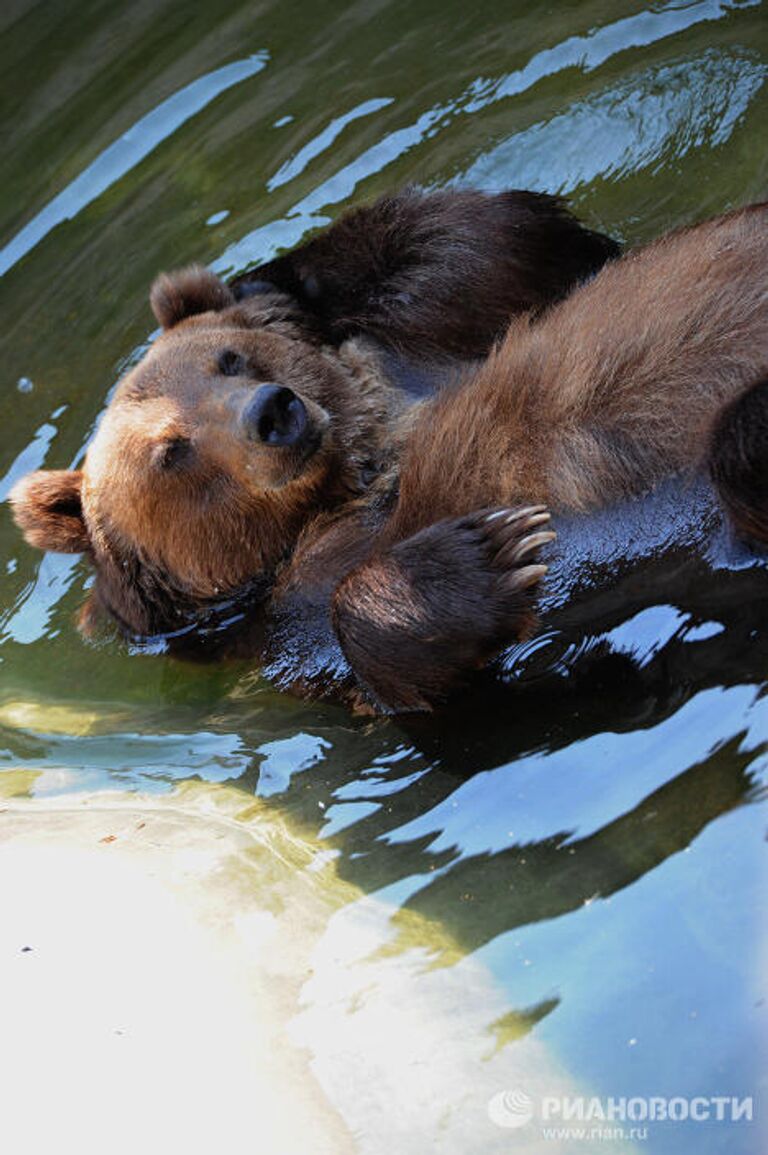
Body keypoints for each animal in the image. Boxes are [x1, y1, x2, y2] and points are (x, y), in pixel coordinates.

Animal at [10, 190, 766, 711]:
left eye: (230, 360)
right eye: (171, 450)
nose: (272, 412)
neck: (362, 464)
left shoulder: (444, 328)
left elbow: (480, 237)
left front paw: (264, 284)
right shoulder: (287, 632)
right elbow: (411, 675)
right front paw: (492, 550)